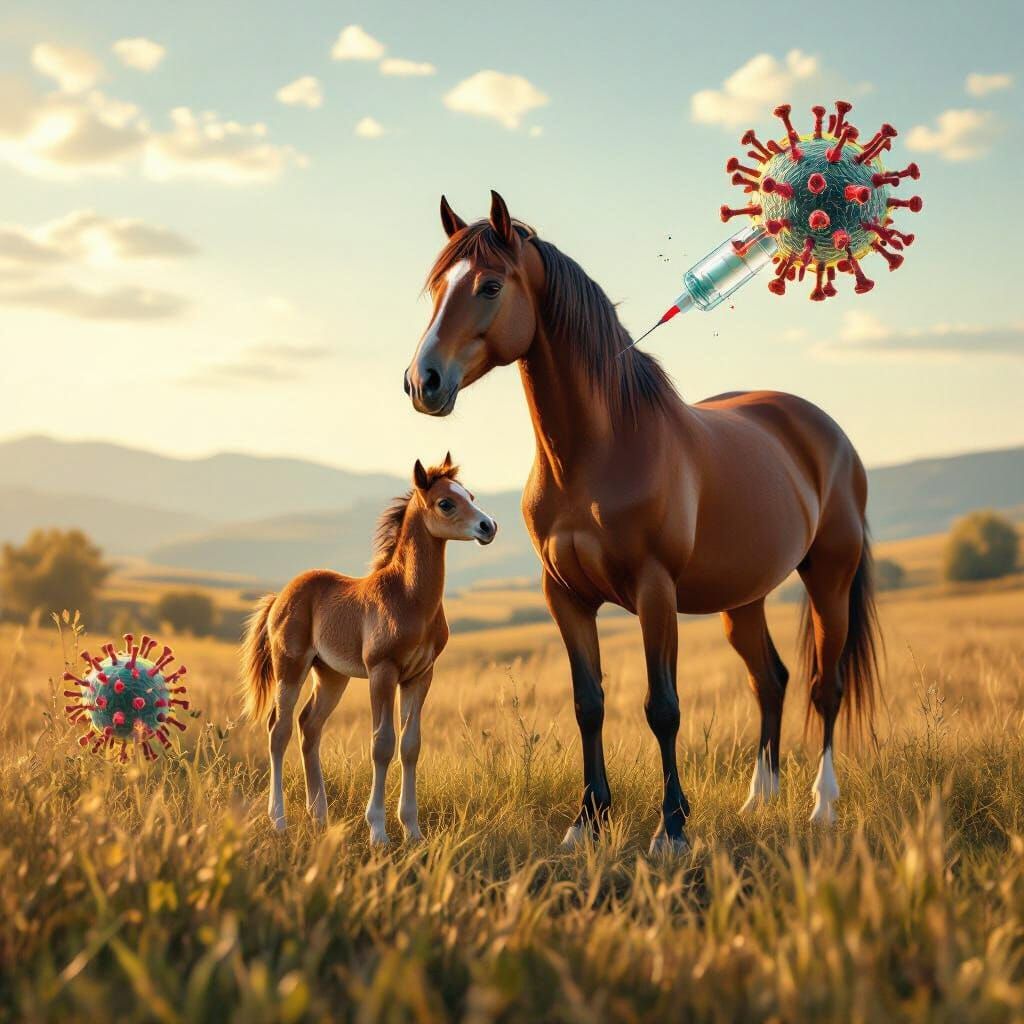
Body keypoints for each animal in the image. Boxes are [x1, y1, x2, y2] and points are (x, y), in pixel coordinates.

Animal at [240, 455, 497, 843]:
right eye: (446, 503)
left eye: (471, 495)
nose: (489, 526)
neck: (408, 597)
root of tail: (281, 595)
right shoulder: (382, 671)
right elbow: (382, 744)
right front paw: (378, 830)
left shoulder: (421, 675)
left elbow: (410, 745)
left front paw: (412, 830)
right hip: (291, 667)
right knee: (279, 729)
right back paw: (279, 821)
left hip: (331, 675)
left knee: (308, 726)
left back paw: (319, 816)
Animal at [404, 191, 881, 853]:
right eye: (434, 288)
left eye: (491, 286)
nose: (422, 382)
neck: (595, 454)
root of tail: (825, 429)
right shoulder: (565, 596)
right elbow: (589, 703)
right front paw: (587, 819)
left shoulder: (655, 593)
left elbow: (663, 707)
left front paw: (672, 827)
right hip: (744, 598)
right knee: (771, 681)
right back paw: (758, 800)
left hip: (829, 580)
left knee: (824, 687)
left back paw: (822, 807)